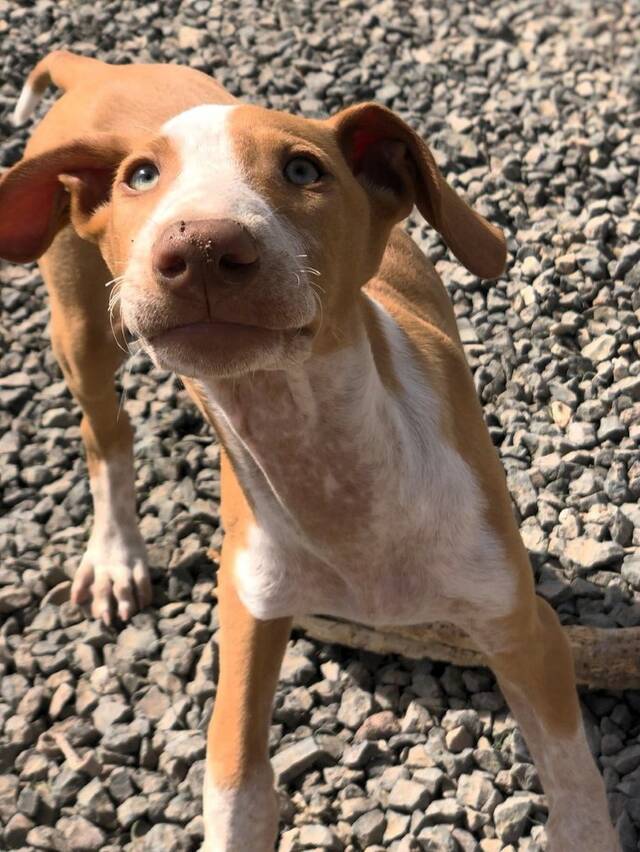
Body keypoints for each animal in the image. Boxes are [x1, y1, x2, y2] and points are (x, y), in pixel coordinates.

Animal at [0, 53, 620, 852]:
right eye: (140, 176)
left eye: (303, 169)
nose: (200, 248)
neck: (328, 463)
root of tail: (101, 68)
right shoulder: (248, 611)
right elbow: (236, 785)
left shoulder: (523, 625)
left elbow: (576, 789)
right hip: (80, 320)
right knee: (103, 430)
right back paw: (115, 557)